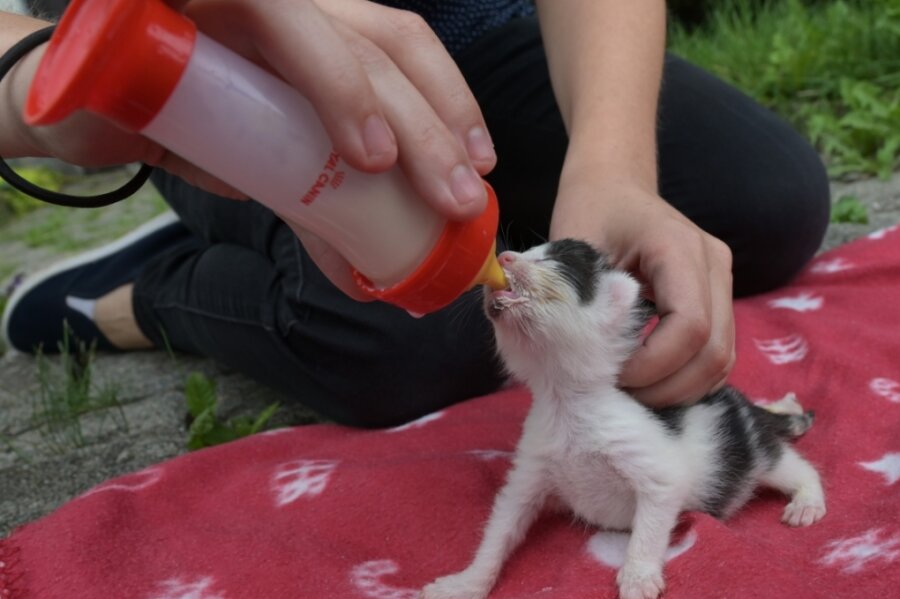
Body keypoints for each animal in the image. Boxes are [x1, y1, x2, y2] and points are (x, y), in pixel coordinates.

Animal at [426, 239, 828, 599]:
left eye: (557, 261)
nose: (503, 256)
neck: (565, 401)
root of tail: (742, 404)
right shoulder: (531, 472)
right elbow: (502, 526)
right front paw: (466, 583)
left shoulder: (656, 473)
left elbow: (649, 527)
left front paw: (638, 576)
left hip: (754, 453)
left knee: (794, 465)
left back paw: (806, 499)